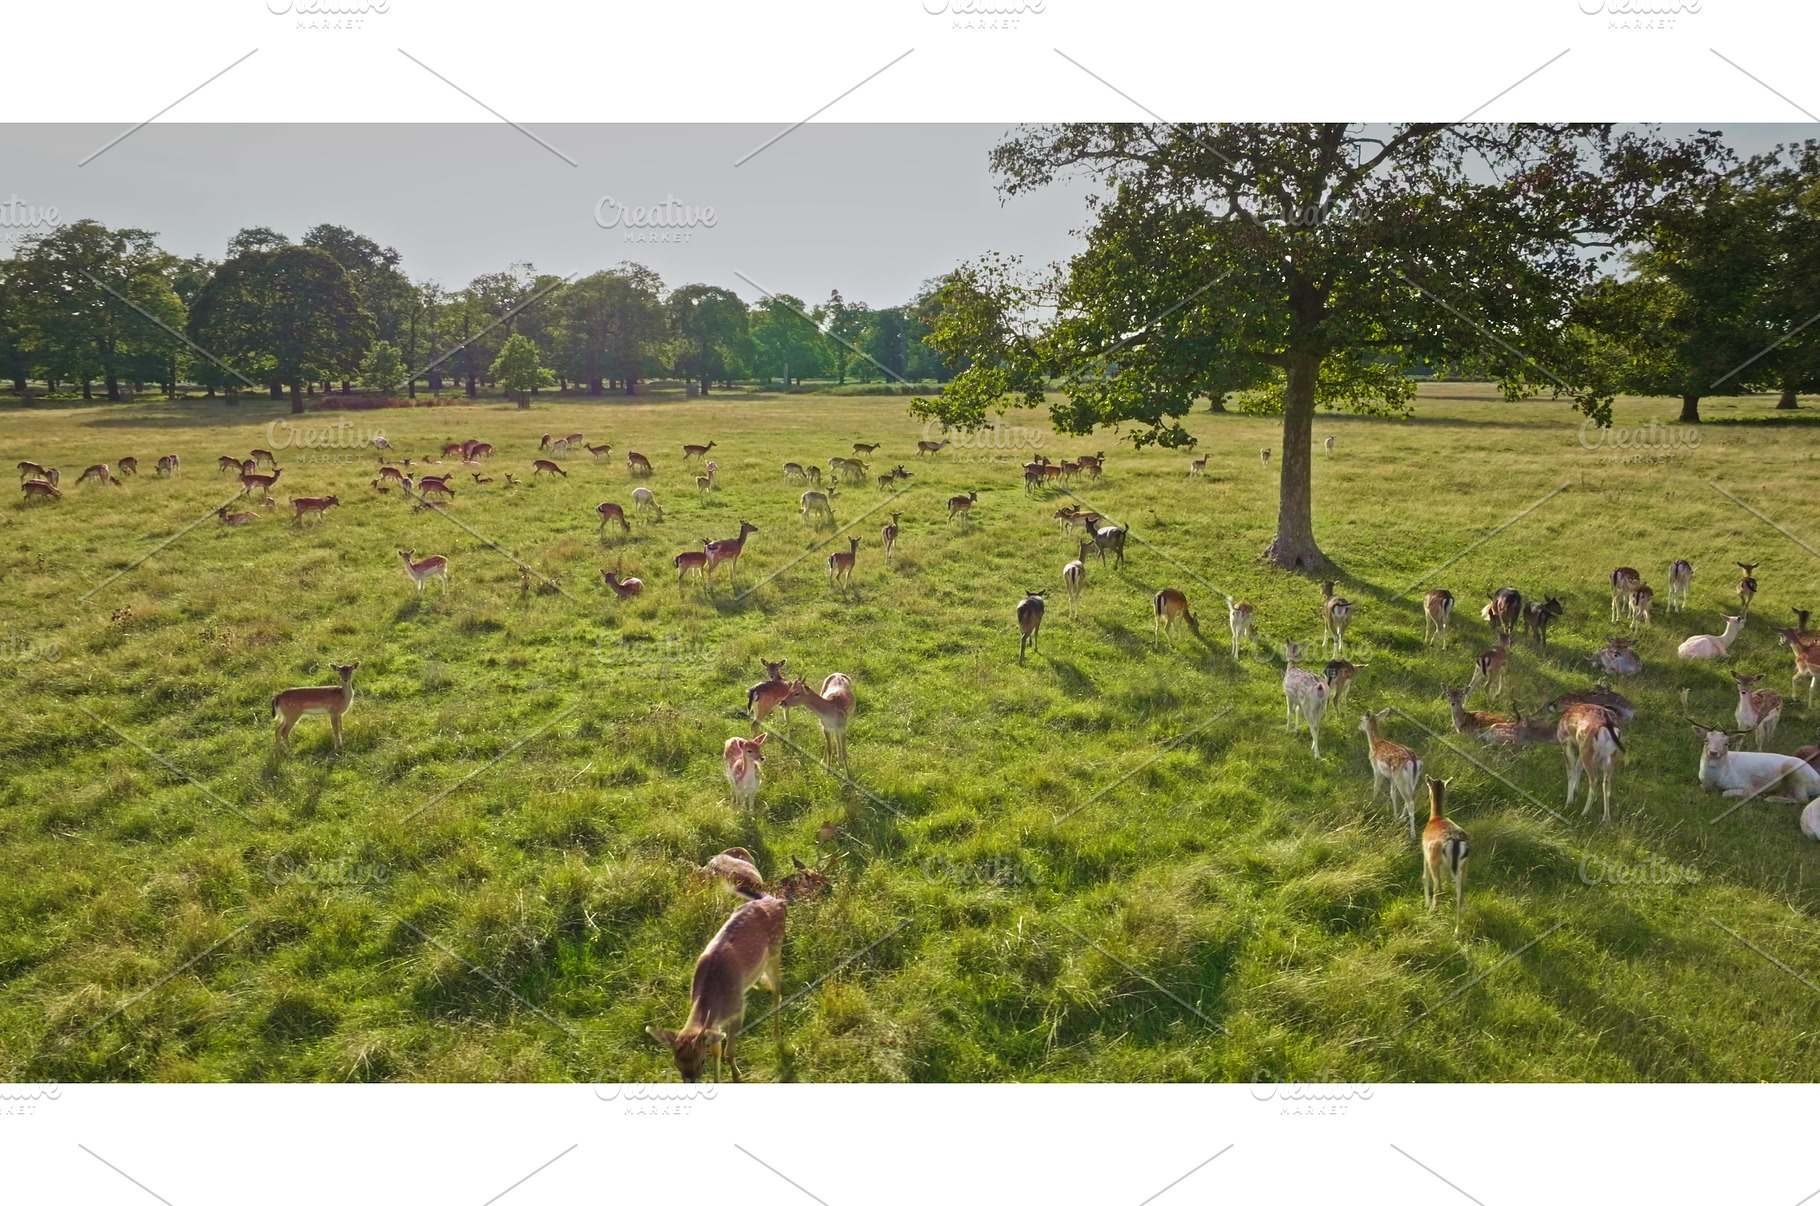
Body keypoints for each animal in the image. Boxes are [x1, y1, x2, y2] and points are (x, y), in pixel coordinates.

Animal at [647, 876, 786, 1083]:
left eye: (701, 1061)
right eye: (677, 1064)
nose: (691, 1081)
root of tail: (775, 901)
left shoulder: (737, 1009)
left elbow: (729, 1051)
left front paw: (737, 1076)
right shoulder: (714, 1024)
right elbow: (717, 1051)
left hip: (775, 951)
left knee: (778, 990)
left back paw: (777, 1034)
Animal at [1420, 777, 1471, 929]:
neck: (1435, 817)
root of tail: (1455, 842)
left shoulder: (1425, 854)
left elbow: (1424, 878)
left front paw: (1426, 904)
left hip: (1434, 861)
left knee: (1438, 889)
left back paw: (1430, 912)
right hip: (1464, 867)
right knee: (1461, 897)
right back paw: (1457, 932)